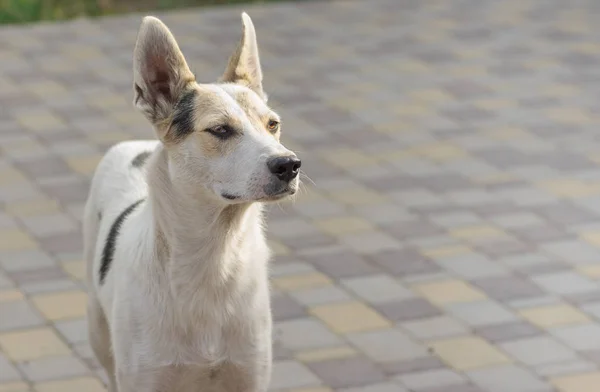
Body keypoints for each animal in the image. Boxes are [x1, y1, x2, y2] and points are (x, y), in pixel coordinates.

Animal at [84, 13, 300, 392]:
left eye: (272, 125)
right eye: (221, 130)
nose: (289, 165)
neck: (213, 258)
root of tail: (133, 145)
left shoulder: (249, 372)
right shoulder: (145, 376)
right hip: (98, 330)